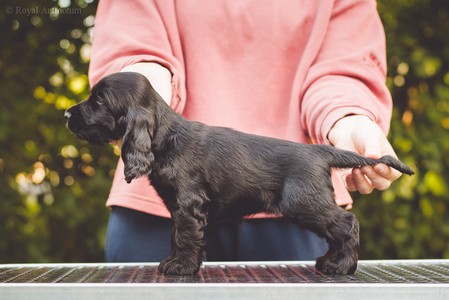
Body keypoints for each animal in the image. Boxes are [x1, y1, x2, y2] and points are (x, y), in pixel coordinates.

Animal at [65, 71, 412, 276]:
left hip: (303, 203)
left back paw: (341, 266)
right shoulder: (179, 207)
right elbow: (178, 235)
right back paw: (330, 262)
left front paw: (180, 266)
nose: (67, 114)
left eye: (99, 100)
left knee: (347, 223)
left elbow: (186, 236)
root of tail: (318, 151)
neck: (165, 138)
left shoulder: (189, 204)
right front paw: (177, 262)